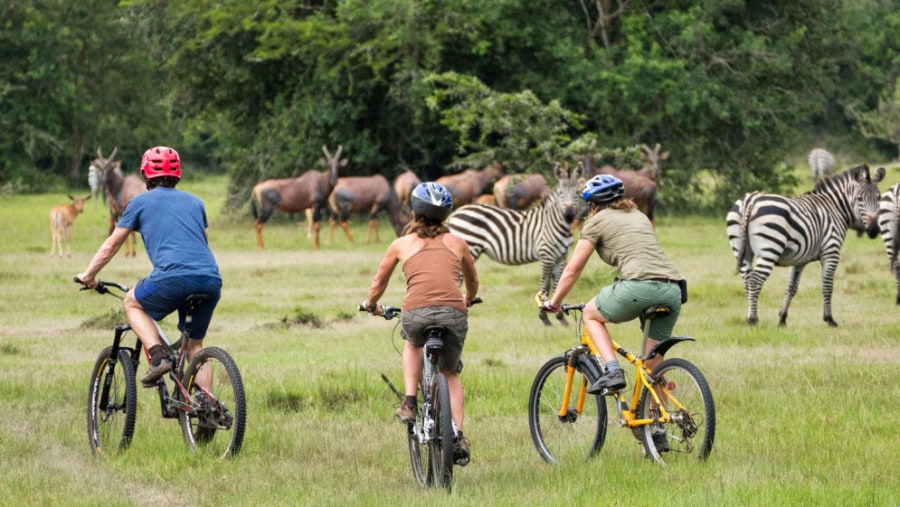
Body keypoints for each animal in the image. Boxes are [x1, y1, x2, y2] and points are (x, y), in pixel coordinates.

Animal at [444, 165, 584, 328]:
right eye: (561, 193)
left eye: (577, 192)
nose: (569, 215)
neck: (554, 223)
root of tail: (455, 213)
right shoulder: (547, 255)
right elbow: (544, 286)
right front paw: (544, 317)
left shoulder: (561, 257)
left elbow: (558, 285)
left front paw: (561, 318)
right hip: (468, 248)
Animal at [724, 165, 884, 328]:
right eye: (859, 198)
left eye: (879, 198)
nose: (873, 230)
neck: (835, 208)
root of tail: (750, 200)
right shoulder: (831, 252)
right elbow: (827, 286)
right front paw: (829, 319)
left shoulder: (800, 259)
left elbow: (791, 288)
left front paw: (782, 319)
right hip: (769, 249)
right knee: (755, 281)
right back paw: (753, 319)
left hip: (742, 251)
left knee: (747, 281)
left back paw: (749, 316)